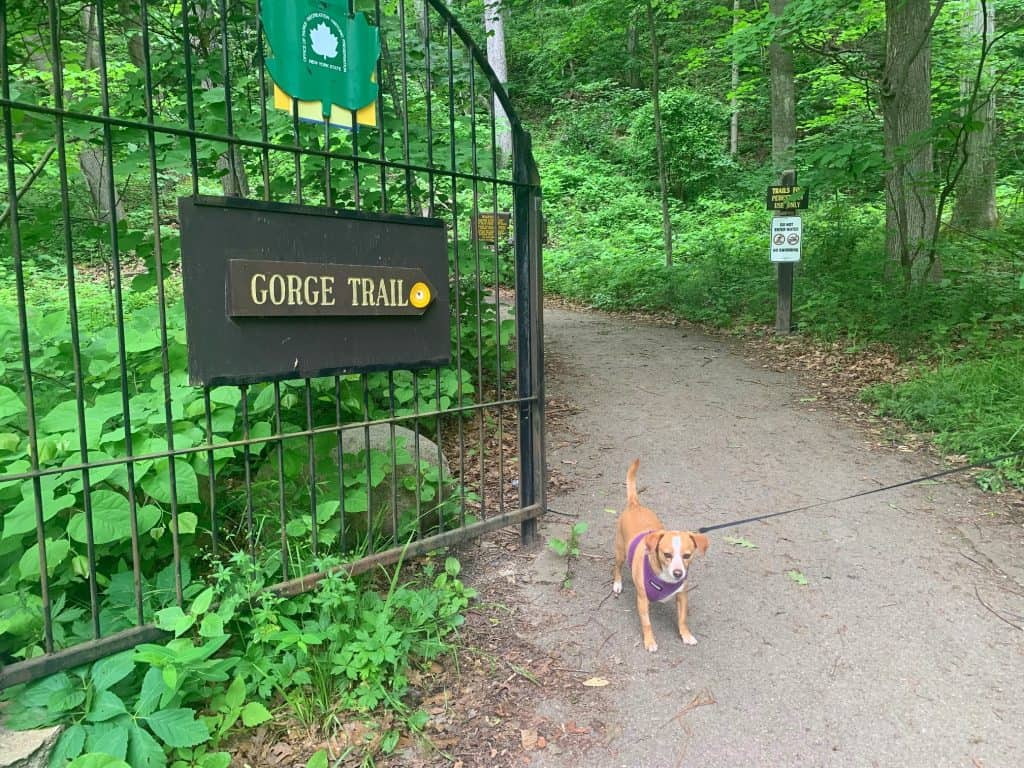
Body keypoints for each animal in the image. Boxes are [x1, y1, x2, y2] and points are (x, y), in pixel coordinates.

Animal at [610, 460, 708, 651]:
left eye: (687, 556)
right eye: (667, 554)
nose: (678, 573)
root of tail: (635, 504)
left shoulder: (682, 596)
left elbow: (682, 619)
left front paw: (686, 635)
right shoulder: (642, 600)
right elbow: (646, 623)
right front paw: (650, 641)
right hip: (620, 552)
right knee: (616, 567)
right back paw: (617, 584)